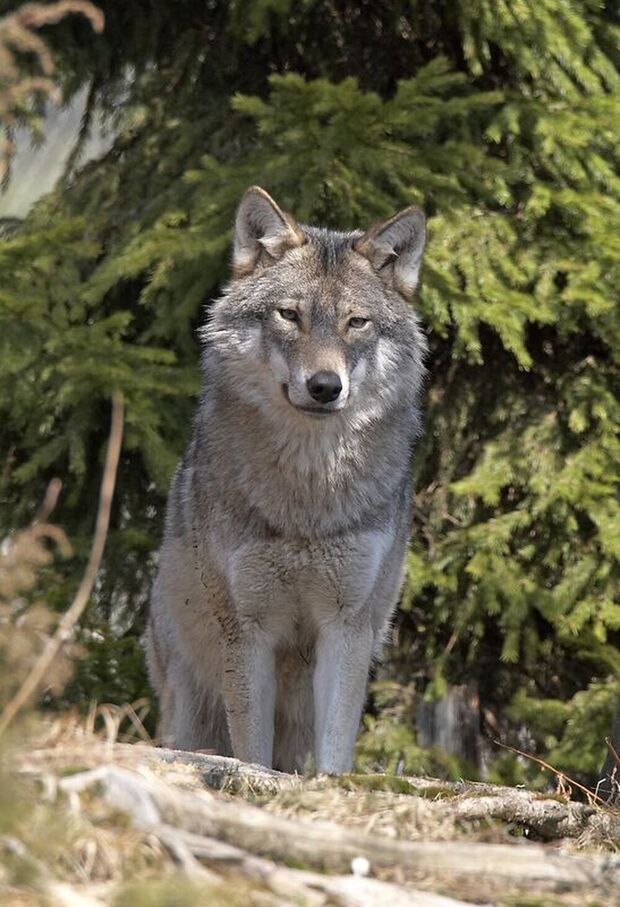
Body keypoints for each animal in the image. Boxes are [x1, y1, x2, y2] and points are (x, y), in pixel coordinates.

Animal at [147, 186, 426, 772]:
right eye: (289, 316)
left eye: (356, 323)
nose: (324, 386)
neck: (307, 499)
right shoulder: (247, 629)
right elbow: (252, 748)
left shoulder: (346, 626)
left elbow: (335, 749)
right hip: (187, 704)